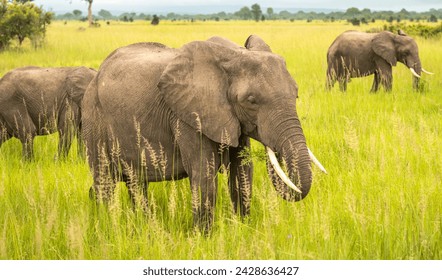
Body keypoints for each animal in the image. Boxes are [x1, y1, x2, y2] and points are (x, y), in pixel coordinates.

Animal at [82, 35, 324, 232]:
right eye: (251, 101)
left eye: (296, 94)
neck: (232, 54)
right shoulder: (188, 116)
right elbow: (203, 173)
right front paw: (203, 239)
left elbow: (243, 173)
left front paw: (243, 230)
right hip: (93, 118)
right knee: (104, 181)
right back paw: (108, 223)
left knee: (136, 183)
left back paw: (143, 225)